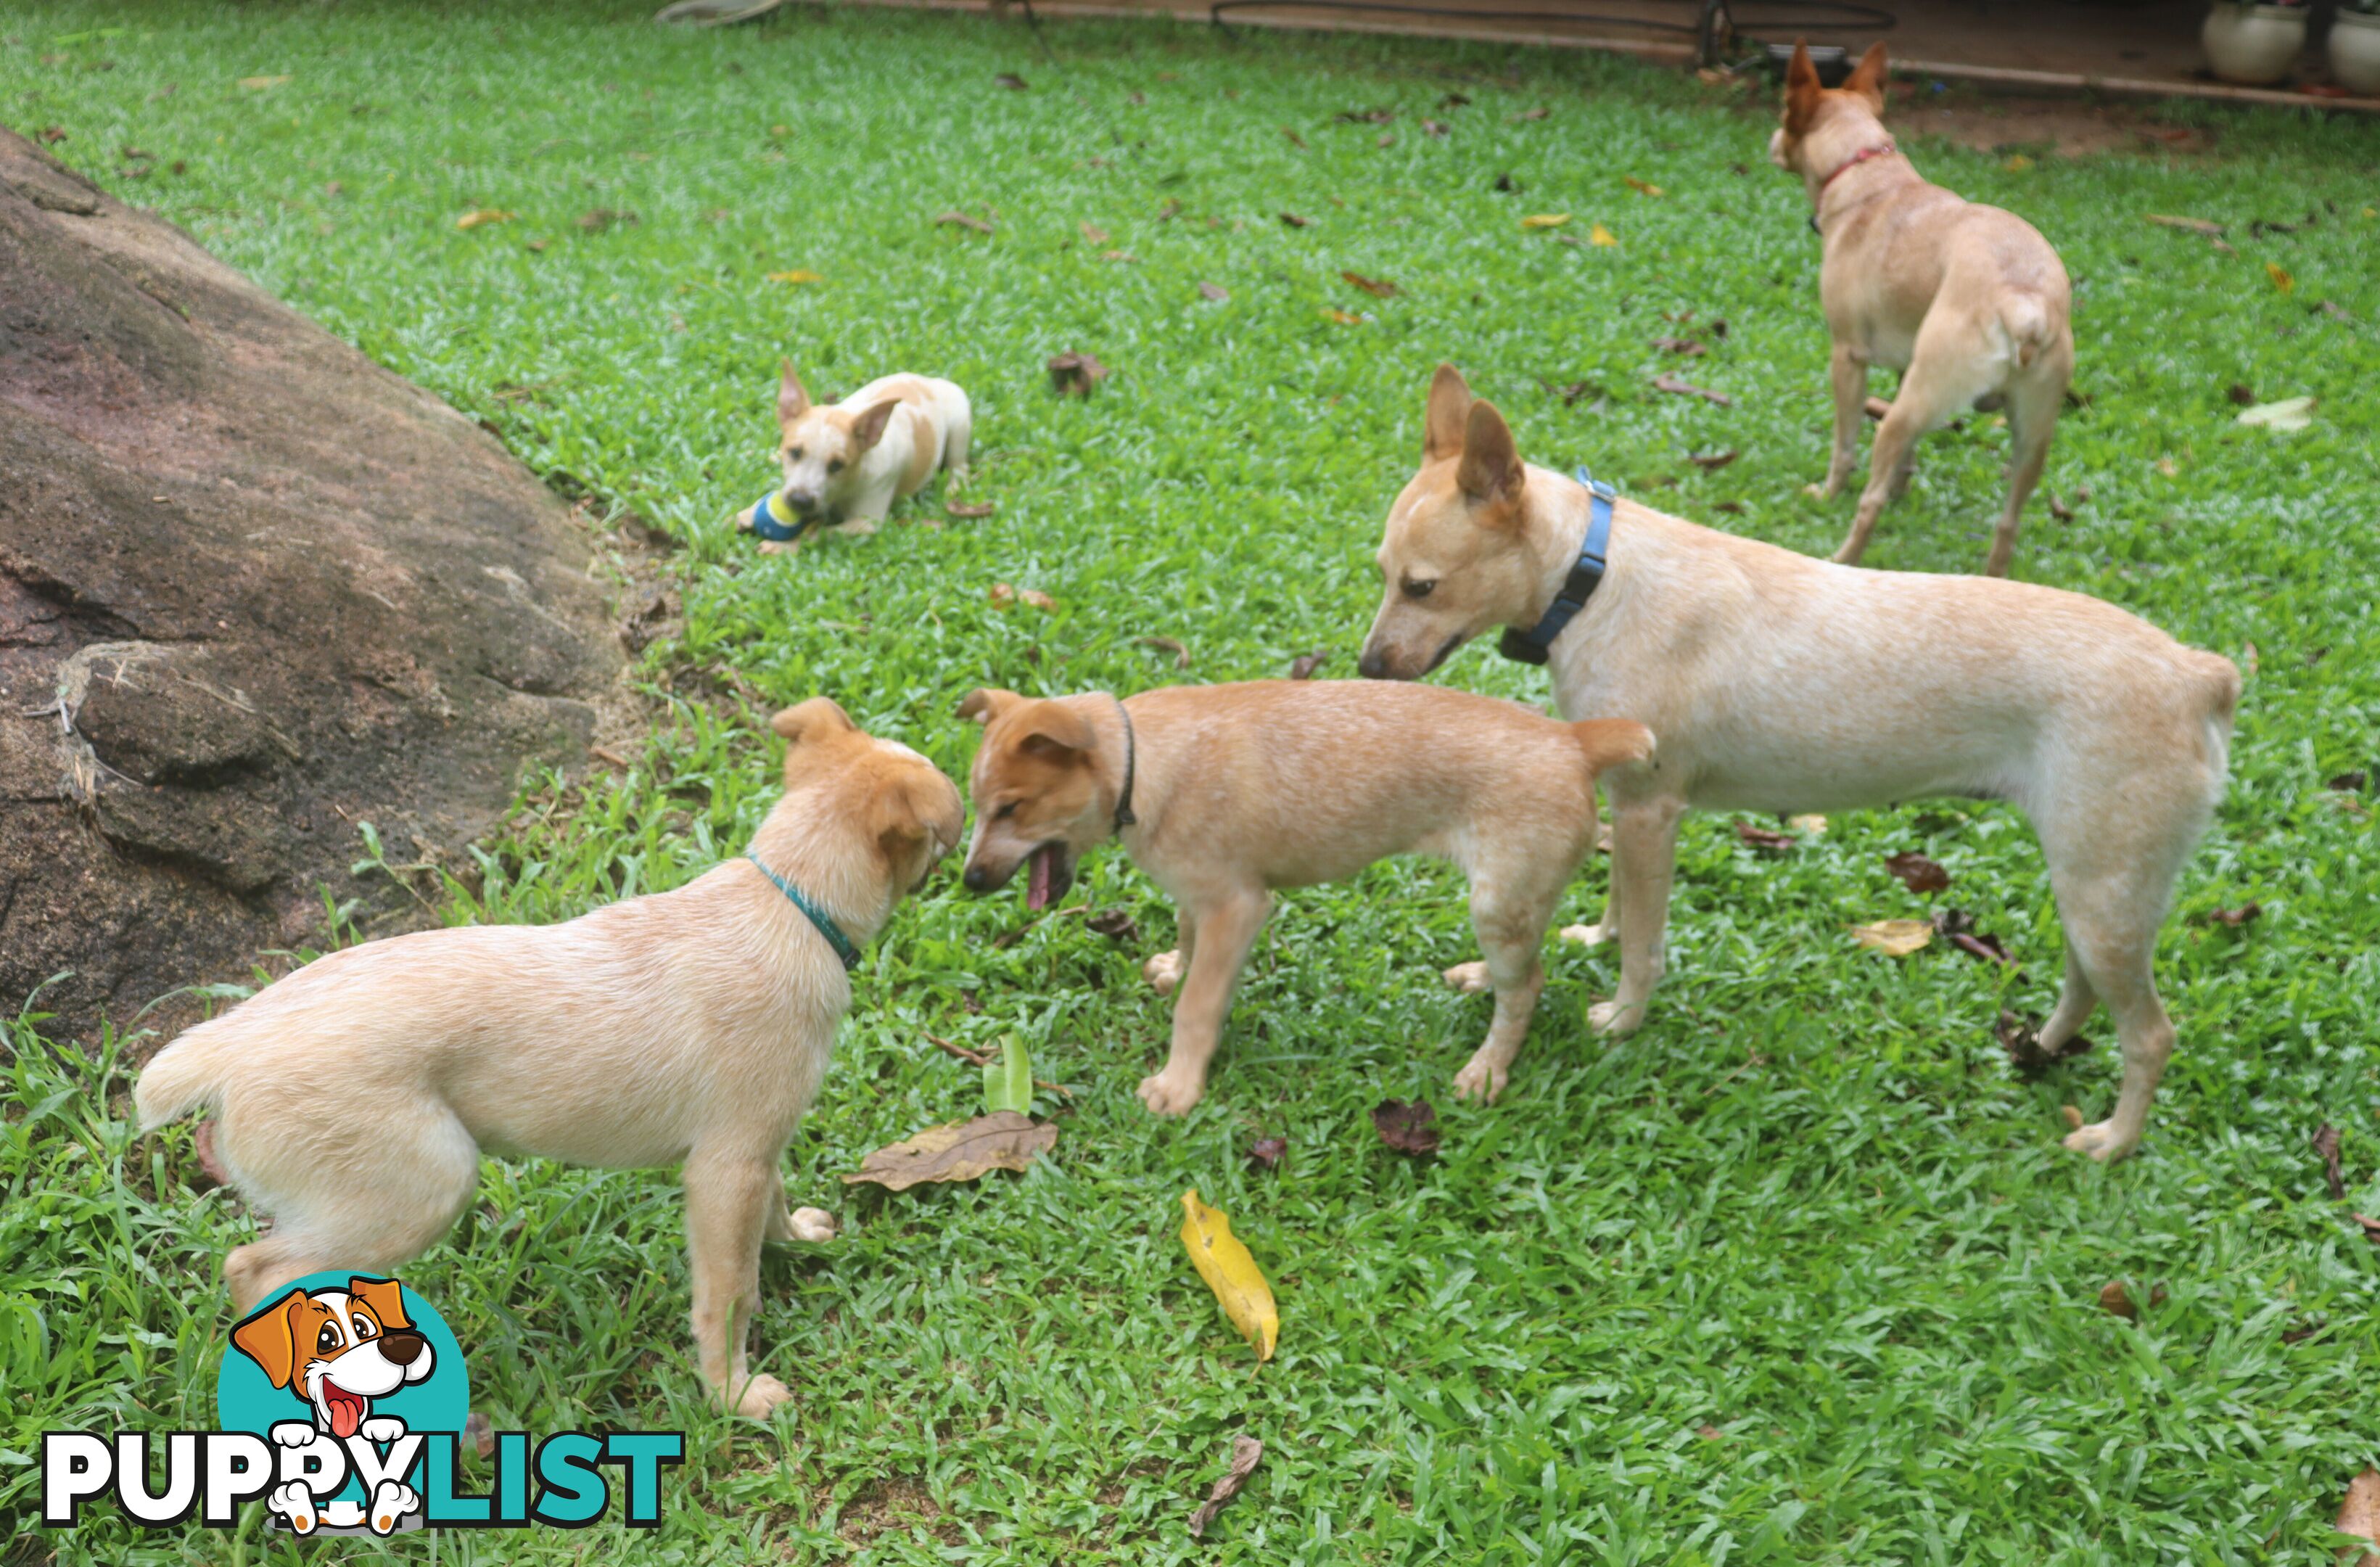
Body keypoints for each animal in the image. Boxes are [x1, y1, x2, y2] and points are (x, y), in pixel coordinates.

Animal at [135, 700, 956, 1410]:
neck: (791, 902)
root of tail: (236, 1040)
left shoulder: (753, 1153)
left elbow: (773, 1210)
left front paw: (794, 1239)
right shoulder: (726, 1170)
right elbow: (728, 1293)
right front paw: (733, 1393)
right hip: (424, 1188)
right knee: (256, 1271)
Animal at [733, 359, 976, 550]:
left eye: (837, 465)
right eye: (795, 452)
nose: (800, 502)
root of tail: (929, 381)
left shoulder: (868, 523)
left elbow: (821, 532)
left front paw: (783, 547)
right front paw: (748, 513)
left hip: (960, 419)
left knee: (959, 464)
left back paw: (954, 487)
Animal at [947, 680, 1656, 1109]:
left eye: (1011, 808)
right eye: (978, 807)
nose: (968, 881)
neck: (1140, 767)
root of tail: (1572, 740)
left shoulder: (1237, 908)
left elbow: (1197, 1007)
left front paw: (1179, 1085)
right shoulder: (1199, 897)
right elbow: (1185, 938)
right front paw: (1174, 967)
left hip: (1498, 901)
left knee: (1527, 985)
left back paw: (1487, 1070)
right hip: (1510, 905)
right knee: (1522, 969)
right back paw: (1479, 979)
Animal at [1351, 359, 2237, 1152]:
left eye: (1422, 587)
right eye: (1383, 575)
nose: (1364, 671)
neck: (1591, 576)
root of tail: (2199, 675)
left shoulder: (1651, 812)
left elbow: (1644, 943)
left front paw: (1623, 1019)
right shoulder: (1626, 802)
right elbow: (1615, 907)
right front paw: (1589, 941)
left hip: (2102, 891)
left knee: (2152, 1035)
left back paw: (2111, 1142)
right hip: (2092, 887)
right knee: (2085, 986)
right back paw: (2039, 1050)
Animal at [1780, 44, 2075, 578]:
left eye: (1782, 110)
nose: (1773, 143)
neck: (1870, 178)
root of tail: (2024, 303)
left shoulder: (1847, 357)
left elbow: (1844, 443)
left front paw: (1829, 491)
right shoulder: (1904, 366)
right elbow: (1907, 460)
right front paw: (1904, 485)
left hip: (1906, 410)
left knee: (1869, 502)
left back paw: (1843, 558)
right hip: (2032, 439)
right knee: (2008, 525)